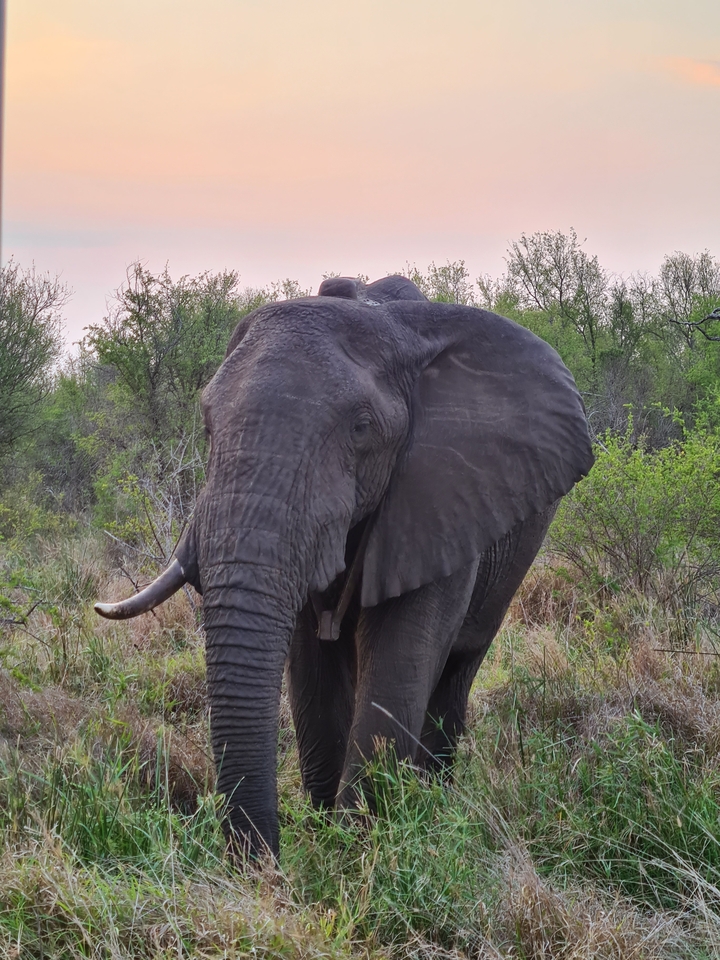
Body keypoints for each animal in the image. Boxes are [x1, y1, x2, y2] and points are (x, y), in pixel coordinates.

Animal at [95, 274, 593, 860]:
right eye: (208, 425)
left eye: (361, 428)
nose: (267, 867)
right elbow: (313, 676)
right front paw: (328, 838)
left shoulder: (442, 498)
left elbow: (398, 664)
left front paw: (357, 849)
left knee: (456, 671)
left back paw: (433, 798)